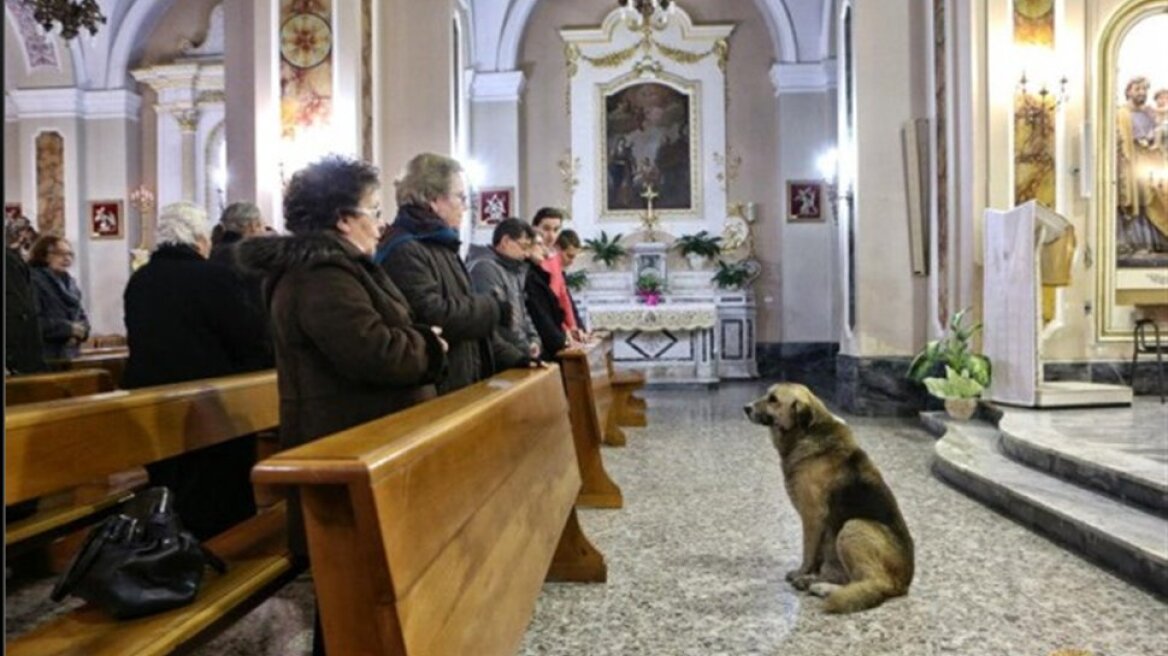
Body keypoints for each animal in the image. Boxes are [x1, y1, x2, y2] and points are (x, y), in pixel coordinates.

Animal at [742, 380, 915, 611]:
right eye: (767, 395)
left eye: (773, 400)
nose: (746, 408)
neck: (806, 433)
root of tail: (904, 584)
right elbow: (816, 556)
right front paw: (811, 574)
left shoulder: (812, 516)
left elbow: (808, 552)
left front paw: (802, 572)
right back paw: (817, 583)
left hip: (853, 527)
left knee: (873, 583)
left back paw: (822, 587)